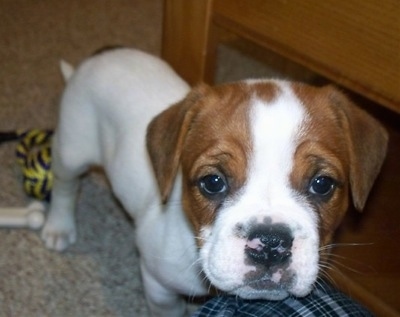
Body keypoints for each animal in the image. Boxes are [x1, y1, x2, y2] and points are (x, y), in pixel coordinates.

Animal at [42, 47, 390, 316]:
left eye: (322, 184)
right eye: (212, 182)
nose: (270, 243)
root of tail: (101, 56)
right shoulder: (158, 287)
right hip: (71, 149)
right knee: (64, 186)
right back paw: (58, 227)